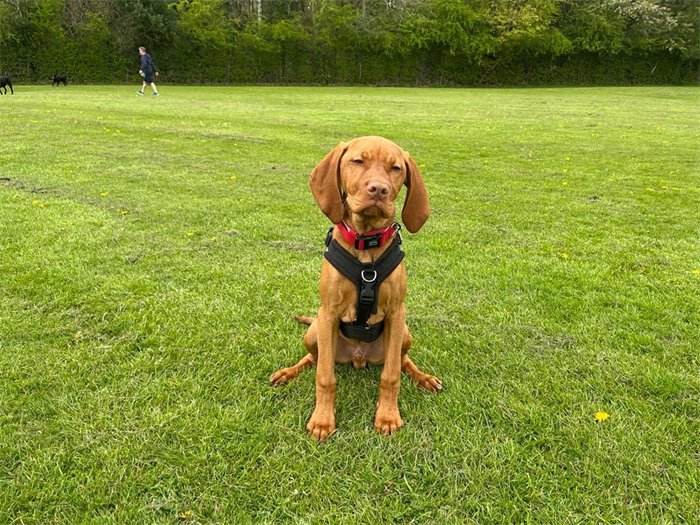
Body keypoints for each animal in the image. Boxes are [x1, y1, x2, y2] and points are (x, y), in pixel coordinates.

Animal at [270, 134, 440, 438]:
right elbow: (325, 376)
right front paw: (323, 420)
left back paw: (423, 378)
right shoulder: (327, 314)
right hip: (314, 332)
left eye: (396, 168)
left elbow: (391, 374)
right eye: (358, 161)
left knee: (402, 360)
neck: (366, 245)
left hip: (405, 333)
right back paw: (288, 372)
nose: (379, 189)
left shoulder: (397, 313)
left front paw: (387, 416)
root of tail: (359, 359)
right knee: (312, 359)